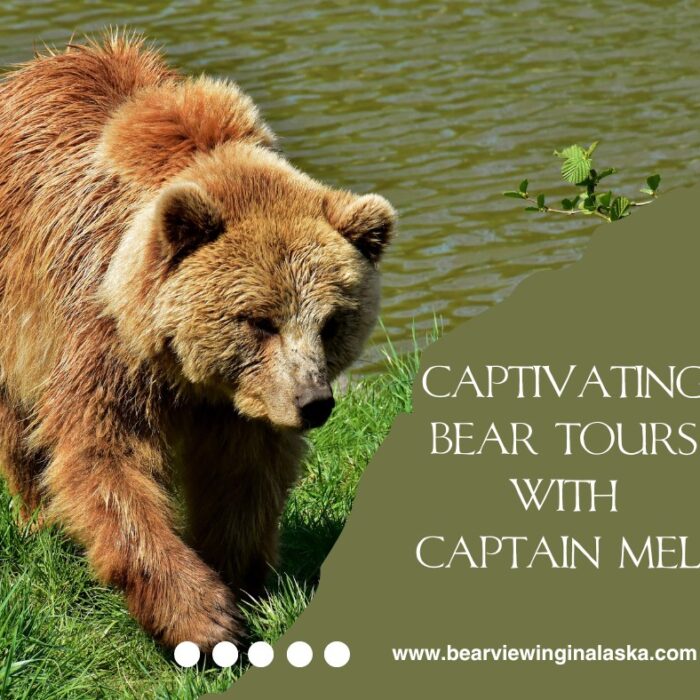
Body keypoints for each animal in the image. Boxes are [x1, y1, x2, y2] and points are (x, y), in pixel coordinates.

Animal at [0, 32, 395, 650]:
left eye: (333, 320)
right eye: (258, 319)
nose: (314, 402)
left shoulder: (246, 403)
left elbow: (242, 476)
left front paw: (241, 579)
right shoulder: (101, 341)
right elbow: (104, 458)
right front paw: (203, 619)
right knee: (21, 428)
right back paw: (38, 521)